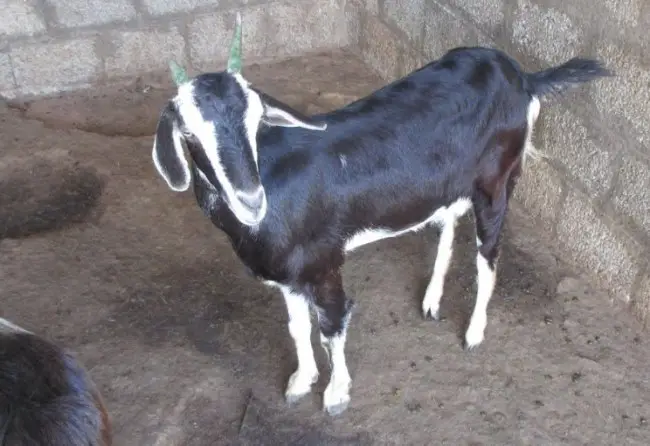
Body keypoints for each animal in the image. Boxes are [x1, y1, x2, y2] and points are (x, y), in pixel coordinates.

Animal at [151, 13, 611, 415]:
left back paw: (474, 332)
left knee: (489, 253)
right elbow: (297, 326)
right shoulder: (287, 273)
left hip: (498, 181)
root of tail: (524, 76)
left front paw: (336, 396)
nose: (250, 198)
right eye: (188, 132)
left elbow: (331, 326)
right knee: (449, 223)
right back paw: (431, 300)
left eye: (257, 118)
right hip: (451, 184)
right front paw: (300, 382)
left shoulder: (323, 263)